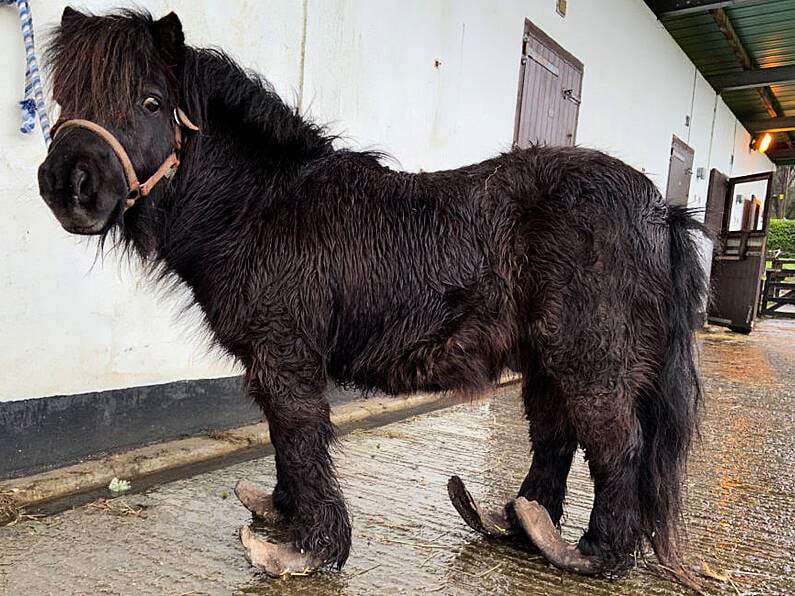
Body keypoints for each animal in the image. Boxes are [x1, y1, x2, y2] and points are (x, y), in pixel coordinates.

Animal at [38, 7, 708, 584]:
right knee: (555, 435)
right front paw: (284, 514)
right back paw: (520, 523)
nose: (67, 185)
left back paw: (596, 555)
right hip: (547, 358)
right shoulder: (272, 362)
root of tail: (661, 210)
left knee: (616, 442)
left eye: (151, 102)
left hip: (589, 356)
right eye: (64, 99)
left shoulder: (286, 357)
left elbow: (301, 437)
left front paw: (309, 549)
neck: (262, 205)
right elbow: (282, 438)